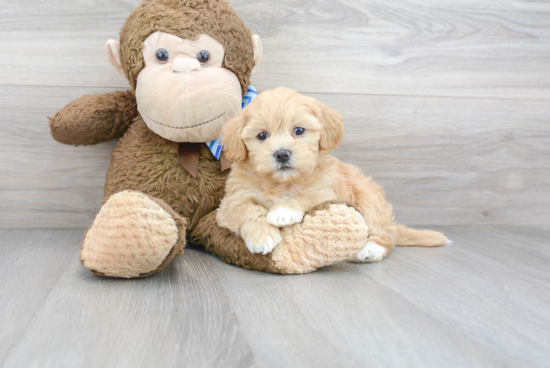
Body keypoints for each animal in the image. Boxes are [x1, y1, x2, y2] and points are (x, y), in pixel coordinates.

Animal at [216, 87, 448, 260]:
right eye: (262, 135)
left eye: (299, 131)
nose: (282, 154)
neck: (283, 183)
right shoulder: (232, 200)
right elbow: (246, 208)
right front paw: (262, 236)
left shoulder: (324, 192)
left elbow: (306, 195)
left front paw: (284, 211)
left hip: (369, 199)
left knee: (384, 233)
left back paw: (371, 249)